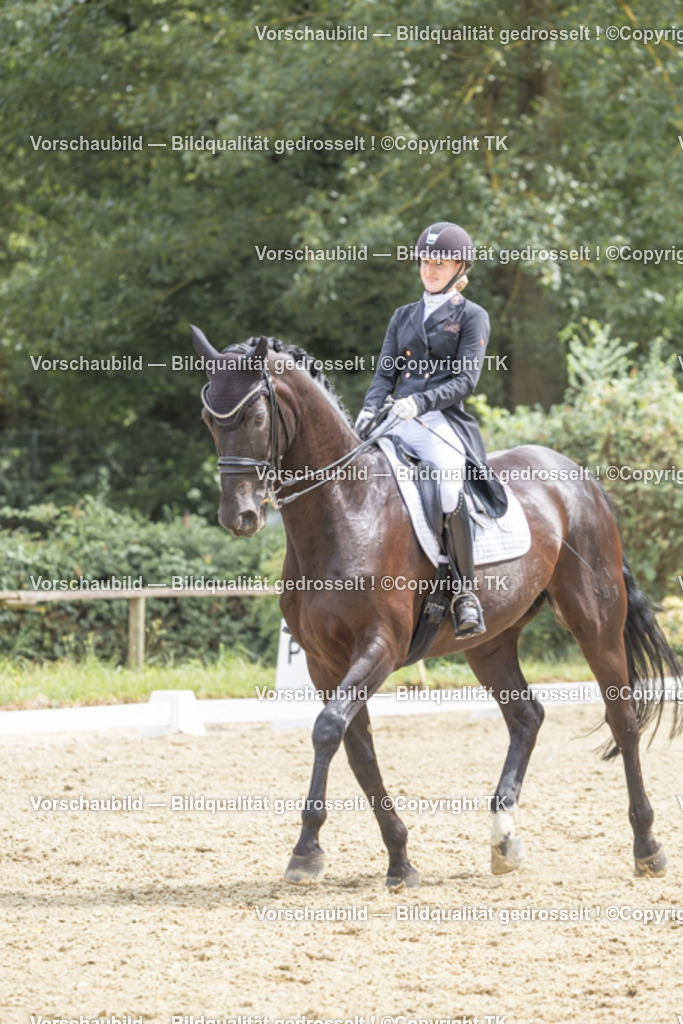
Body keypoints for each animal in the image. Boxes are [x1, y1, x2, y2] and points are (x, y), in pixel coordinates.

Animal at [191, 325, 682, 887]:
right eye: (209, 419)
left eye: (255, 418)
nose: (239, 517)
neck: (346, 509)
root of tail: (578, 476)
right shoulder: (323, 661)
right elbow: (357, 750)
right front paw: (399, 859)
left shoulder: (379, 647)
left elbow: (328, 730)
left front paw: (306, 849)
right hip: (490, 643)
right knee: (527, 716)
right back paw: (504, 838)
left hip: (595, 621)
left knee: (622, 717)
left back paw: (647, 846)